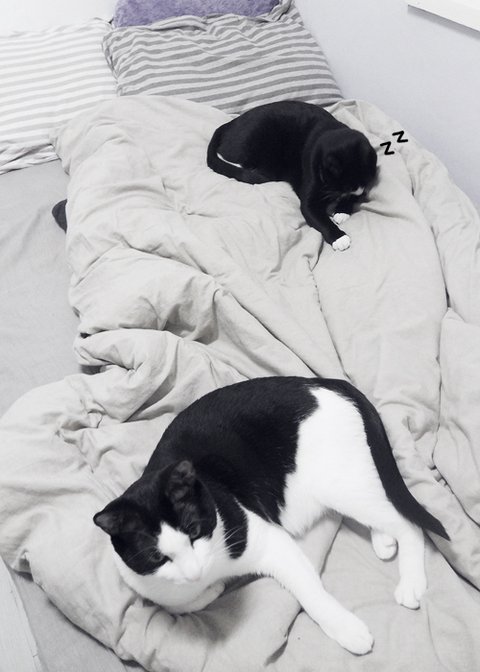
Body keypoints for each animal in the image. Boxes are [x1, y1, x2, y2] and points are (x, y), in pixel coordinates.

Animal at [94, 376, 448, 655]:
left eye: (194, 530)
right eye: (157, 557)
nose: (196, 573)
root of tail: (322, 381)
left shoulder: (269, 541)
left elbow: (311, 593)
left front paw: (348, 630)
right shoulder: (149, 585)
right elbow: (178, 603)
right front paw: (210, 590)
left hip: (339, 483)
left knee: (406, 520)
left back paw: (411, 582)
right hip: (348, 482)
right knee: (385, 508)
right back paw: (384, 540)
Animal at [207, 101, 378, 251]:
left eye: (364, 184)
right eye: (345, 185)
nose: (356, 191)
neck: (328, 131)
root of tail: (229, 124)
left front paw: (342, 211)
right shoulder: (310, 187)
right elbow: (318, 217)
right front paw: (339, 238)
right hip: (251, 140)